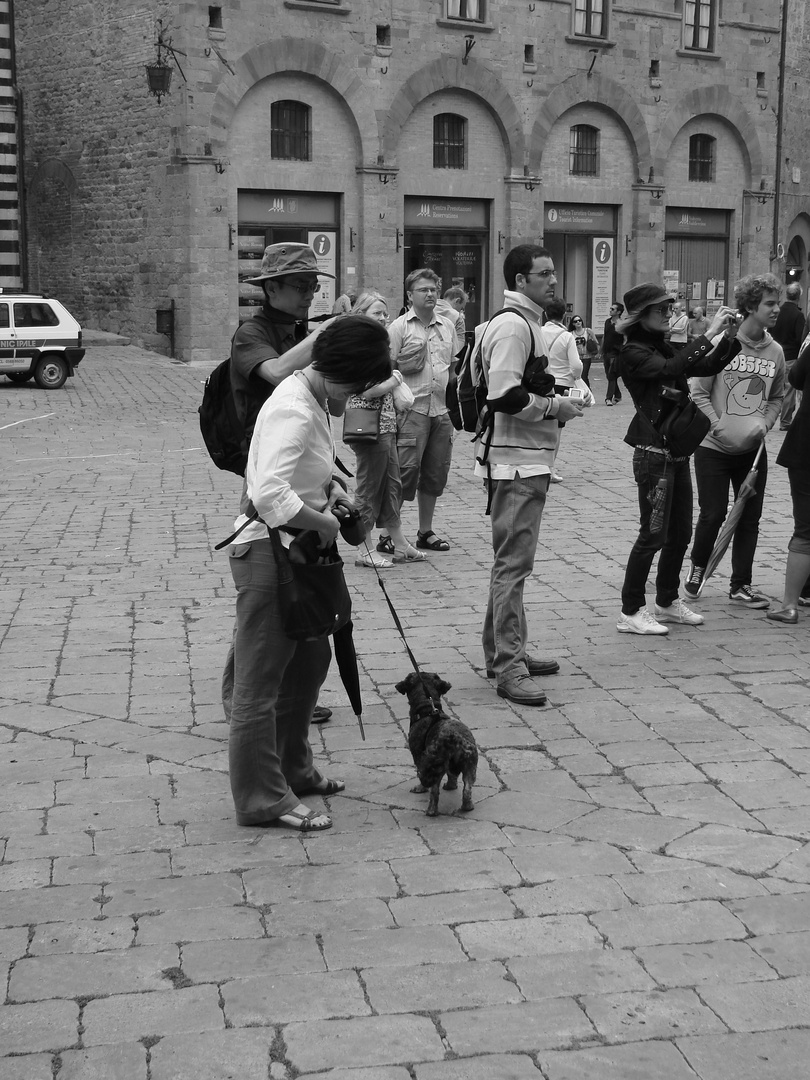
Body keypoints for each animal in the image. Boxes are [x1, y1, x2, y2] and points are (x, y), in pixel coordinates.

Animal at [397, 669, 479, 812]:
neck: (427, 710)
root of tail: (454, 738)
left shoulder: (419, 757)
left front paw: (420, 788)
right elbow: (452, 776)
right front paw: (451, 786)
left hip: (434, 767)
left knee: (434, 792)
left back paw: (431, 811)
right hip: (470, 766)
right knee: (467, 789)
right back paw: (467, 806)